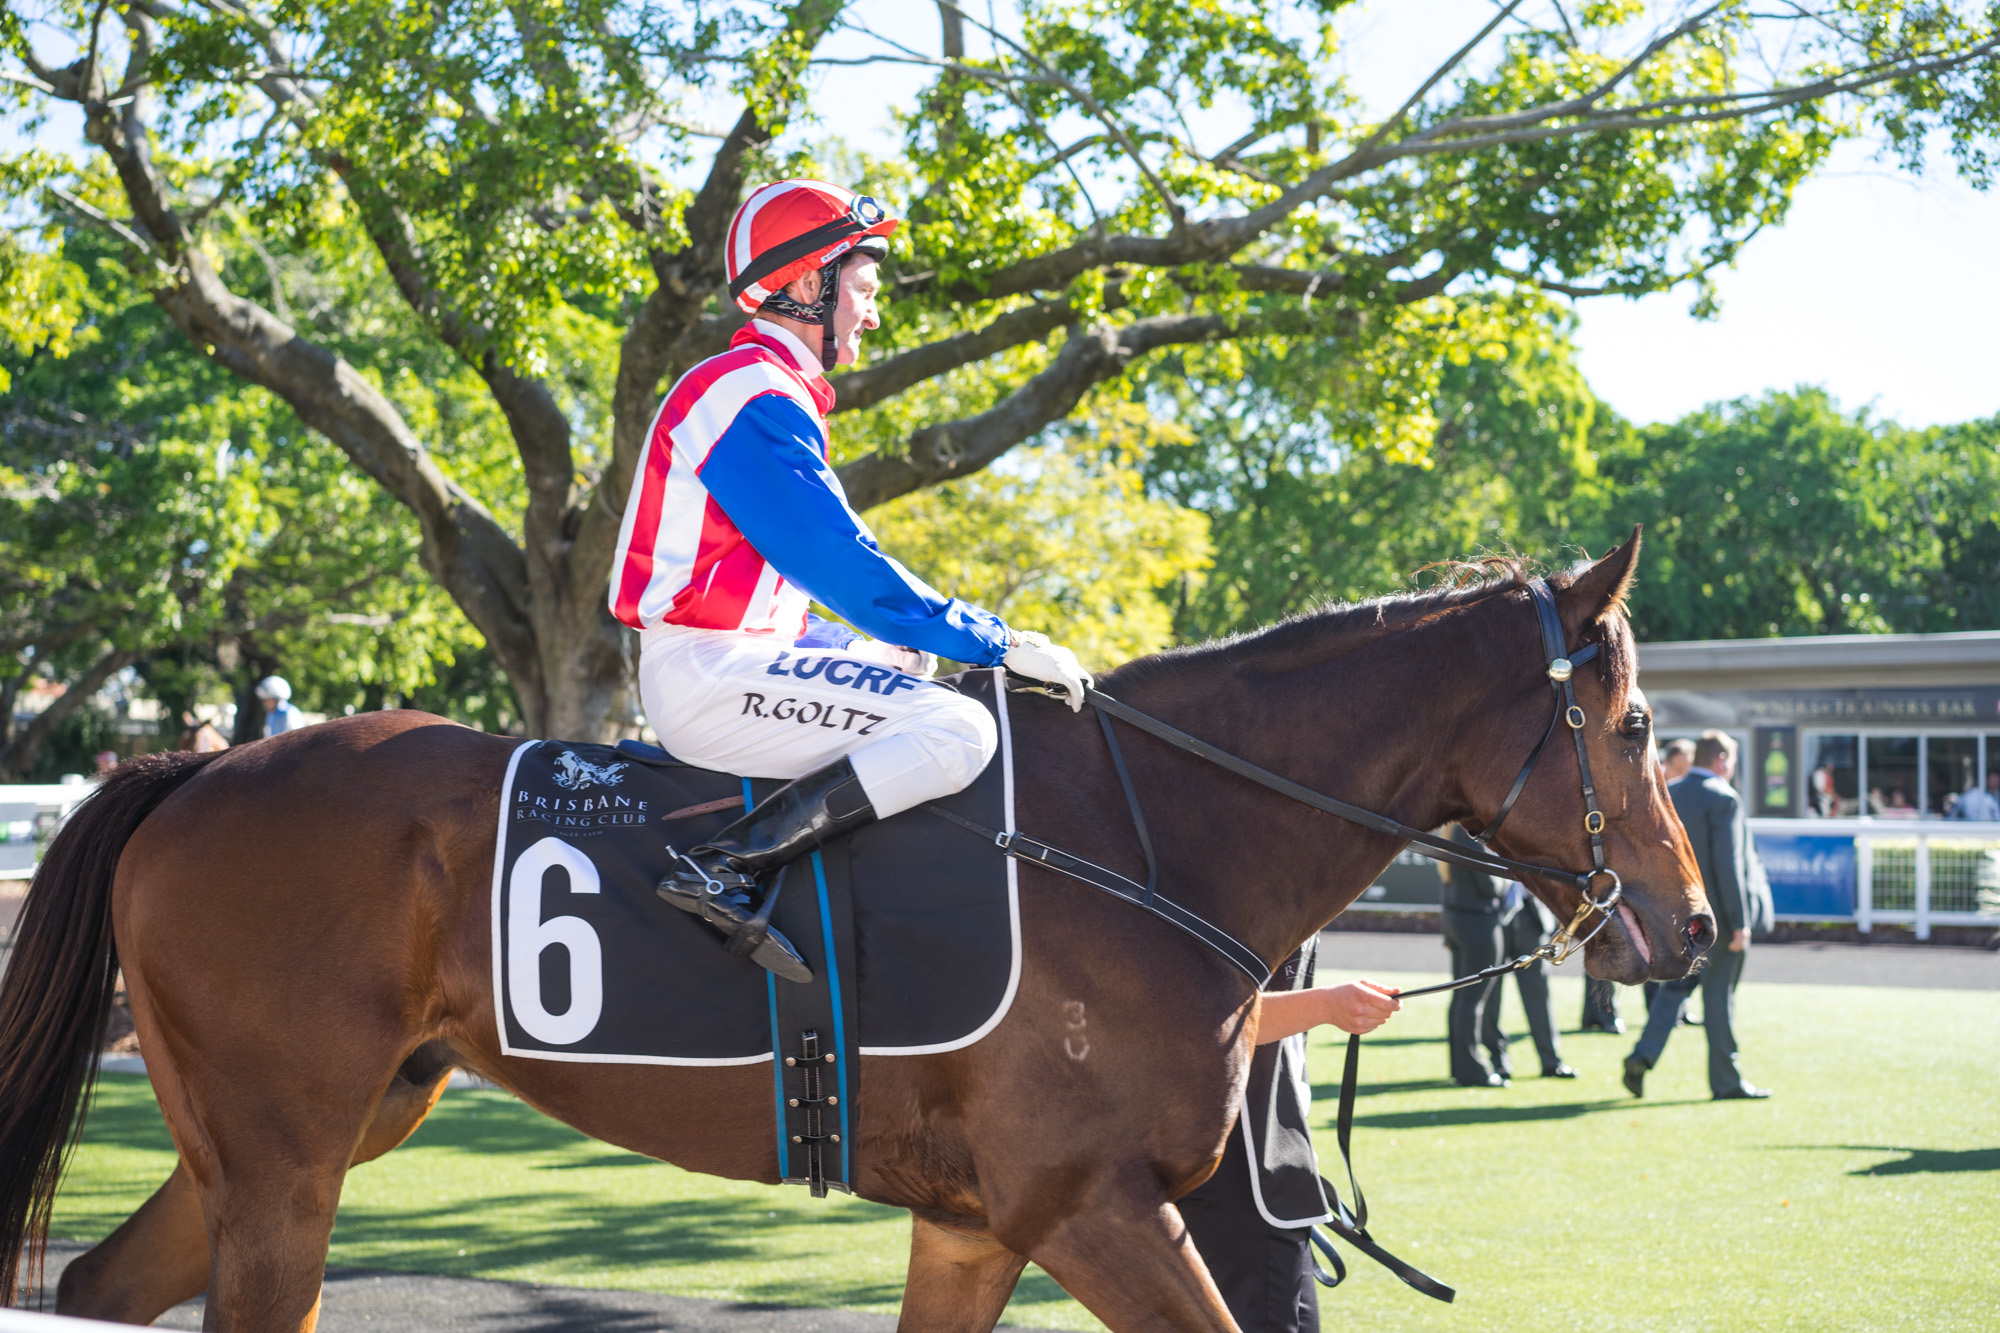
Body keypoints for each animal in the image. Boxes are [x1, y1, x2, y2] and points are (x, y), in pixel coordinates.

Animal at [3, 536, 1720, 1320]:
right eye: (1637, 727)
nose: (1695, 927)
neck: (1145, 834)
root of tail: (200, 764)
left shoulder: (975, 1221)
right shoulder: (1091, 1206)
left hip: (296, 1139)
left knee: (96, 1290)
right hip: (287, 1162)